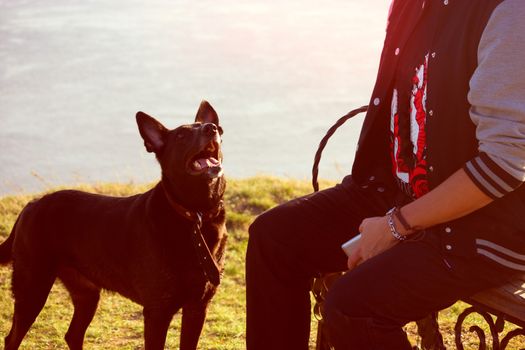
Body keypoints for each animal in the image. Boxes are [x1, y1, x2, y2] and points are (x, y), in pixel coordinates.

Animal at [0, 100, 227, 350]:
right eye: (182, 136)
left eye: (214, 128)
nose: (211, 128)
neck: (195, 216)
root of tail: (30, 206)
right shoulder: (158, 311)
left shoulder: (198, 306)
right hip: (32, 287)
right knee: (12, 338)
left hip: (86, 293)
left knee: (73, 334)